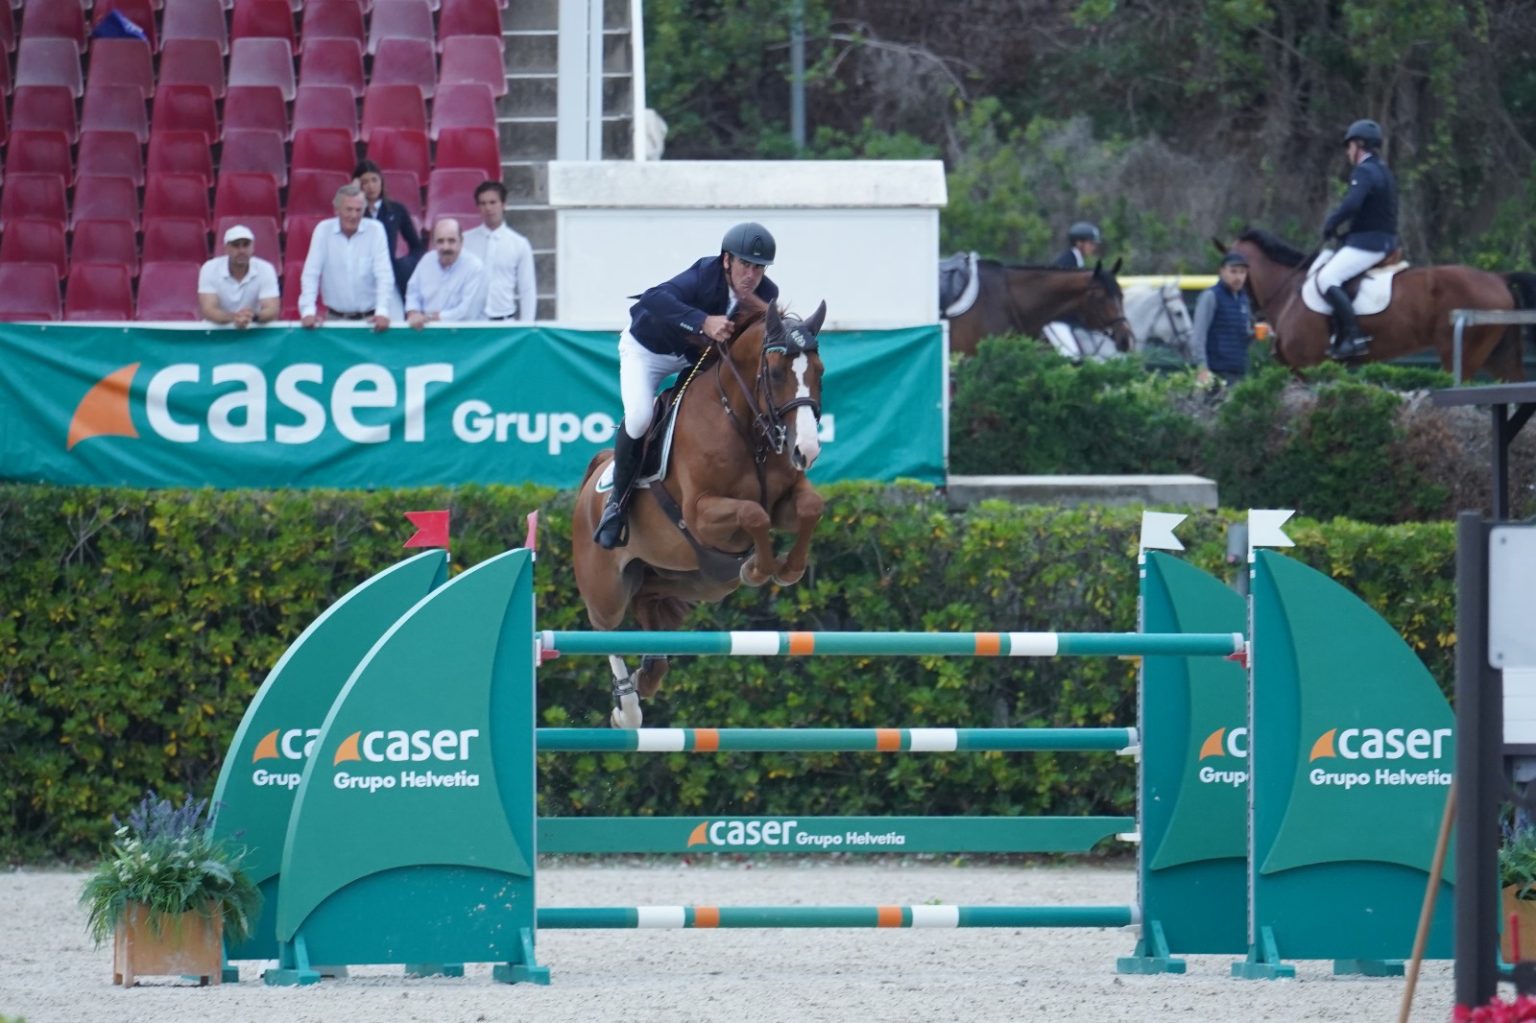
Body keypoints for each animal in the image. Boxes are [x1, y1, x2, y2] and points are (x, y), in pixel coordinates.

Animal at [568, 301, 829, 725]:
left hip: (699, 580)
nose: (805, 451)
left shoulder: (785, 501)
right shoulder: (701, 513)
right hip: (606, 588)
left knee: (649, 599)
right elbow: (753, 514)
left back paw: (648, 675)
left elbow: (808, 506)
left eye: (819, 371)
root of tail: (595, 474)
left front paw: (788, 569)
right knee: (604, 628)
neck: (744, 423)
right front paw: (759, 568)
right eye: (775, 373)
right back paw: (627, 708)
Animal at [1222, 228, 1523, 380]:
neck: (1290, 290)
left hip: (1462, 355)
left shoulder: (1309, 366)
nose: (1251, 317)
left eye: (1238, 274)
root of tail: (1498, 278)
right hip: (1497, 356)